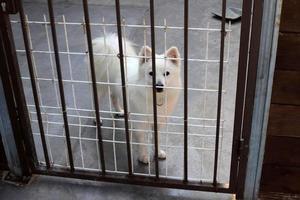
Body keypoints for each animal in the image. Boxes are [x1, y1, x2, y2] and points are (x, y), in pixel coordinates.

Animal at [92, 34, 180, 164]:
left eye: (167, 73)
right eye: (151, 73)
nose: (159, 86)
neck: (154, 96)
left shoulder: (158, 121)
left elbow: (156, 138)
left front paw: (158, 152)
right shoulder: (140, 123)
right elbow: (142, 142)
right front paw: (143, 157)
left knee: (113, 96)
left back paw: (120, 111)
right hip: (99, 88)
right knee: (95, 103)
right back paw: (96, 119)